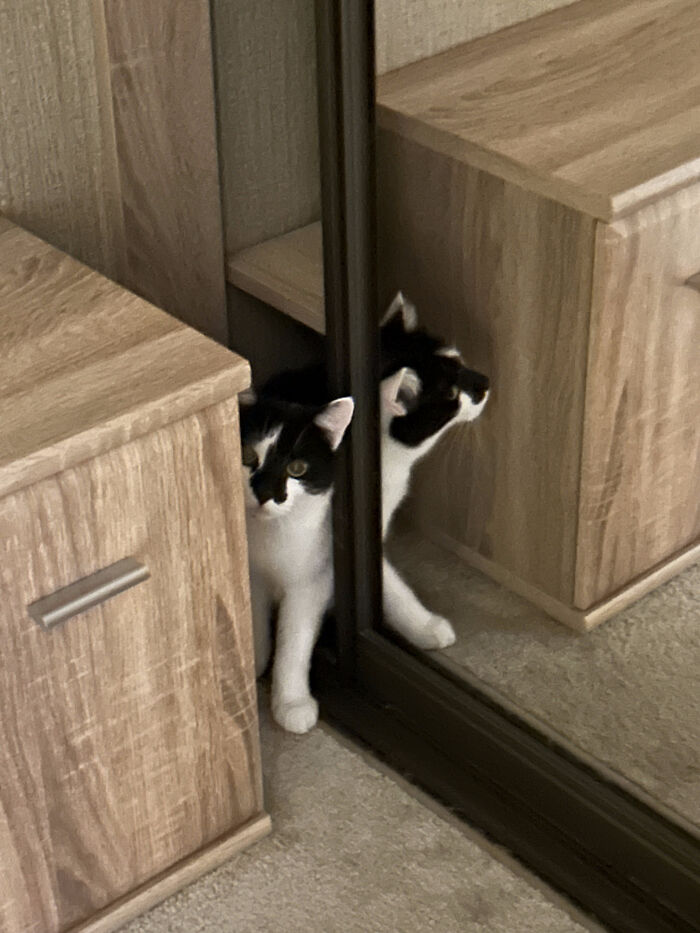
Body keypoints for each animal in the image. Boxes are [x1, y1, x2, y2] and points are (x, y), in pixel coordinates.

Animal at [241, 390, 352, 732]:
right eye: (247, 455)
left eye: (298, 468)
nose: (265, 492)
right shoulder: (250, 576)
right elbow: (255, 622)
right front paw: (253, 663)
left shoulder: (312, 581)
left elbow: (295, 642)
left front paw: (291, 703)